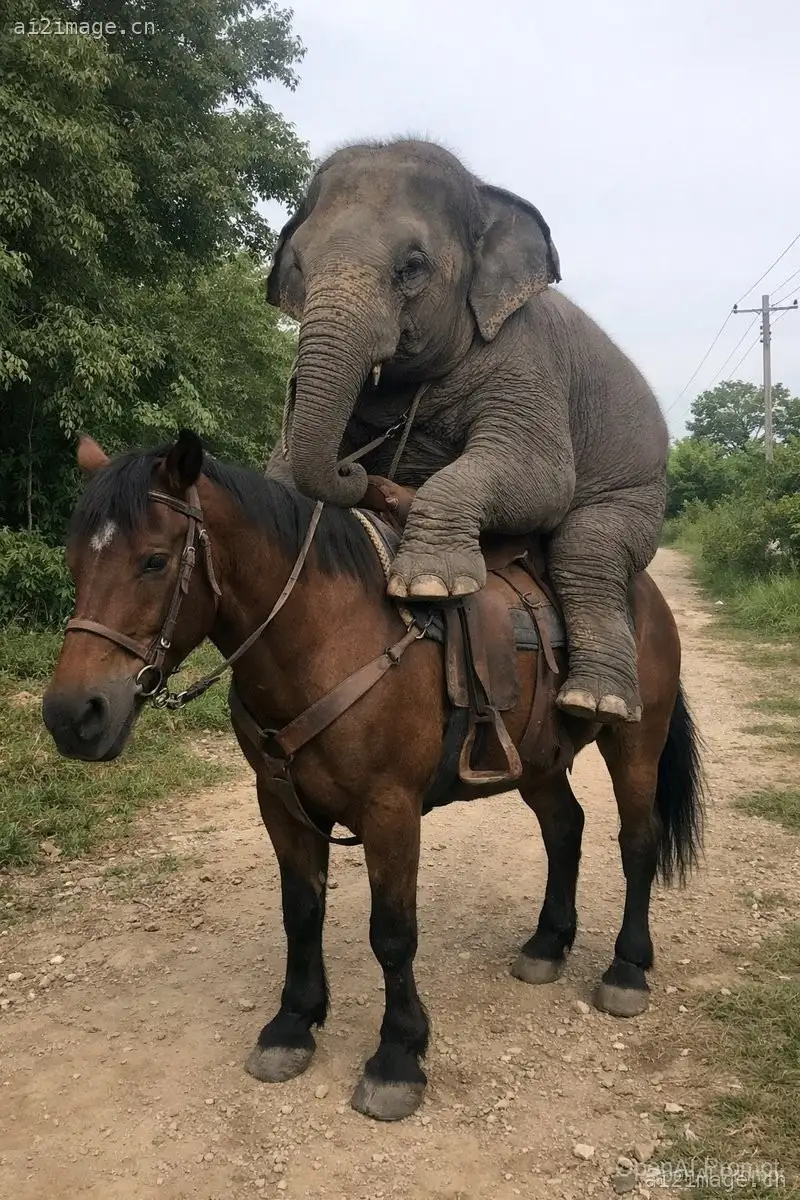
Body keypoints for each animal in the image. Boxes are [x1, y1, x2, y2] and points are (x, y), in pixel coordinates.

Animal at [43, 429, 704, 1122]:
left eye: (154, 561)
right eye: (74, 561)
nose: (73, 715)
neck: (328, 637)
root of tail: (645, 594)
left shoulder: (391, 810)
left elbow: (392, 934)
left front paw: (397, 1056)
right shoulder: (281, 805)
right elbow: (301, 912)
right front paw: (292, 1025)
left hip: (635, 742)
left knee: (637, 843)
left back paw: (626, 970)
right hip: (538, 760)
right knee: (565, 829)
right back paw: (547, 945)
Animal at [265, 139, 668, 724]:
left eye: (412, 267)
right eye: (298, 264)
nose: (355, 468)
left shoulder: (527, 360)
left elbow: (543, 480)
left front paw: (430, 584)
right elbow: (277, 473)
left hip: (639, 491)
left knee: (586, 552)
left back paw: (597, 702)